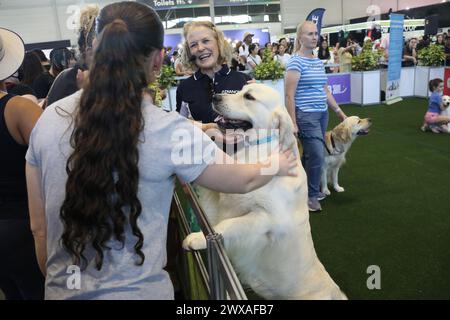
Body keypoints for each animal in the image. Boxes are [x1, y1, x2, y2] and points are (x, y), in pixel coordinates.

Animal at [181, 84, 346, 300]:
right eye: (241, 90)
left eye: (249, 97)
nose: (215, 97)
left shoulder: (268, 218)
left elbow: (228, 224)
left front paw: (197, 239)